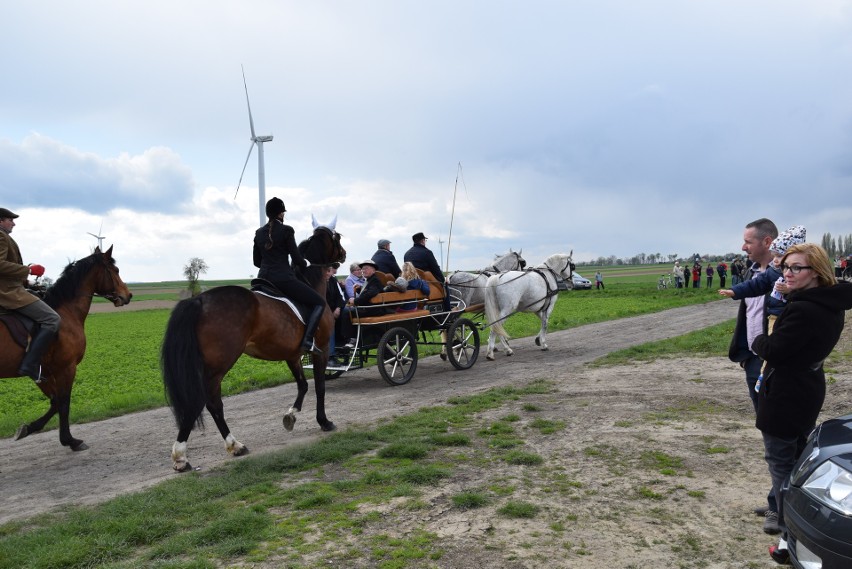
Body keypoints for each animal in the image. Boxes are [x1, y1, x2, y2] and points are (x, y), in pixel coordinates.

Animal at [0, 246, 132, 450]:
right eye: (115, 270)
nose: (128, 295)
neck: (65, 311)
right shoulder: (66, 368)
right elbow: (63, 403)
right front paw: (70, 440)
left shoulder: (44, 372)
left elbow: (55, 402)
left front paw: (28, 428)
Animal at [160, 225, 346, 470]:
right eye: (336, 238)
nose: (343, 255)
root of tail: (198, 300)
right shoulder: (321, 349)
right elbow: (319, 386)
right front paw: (324, 422)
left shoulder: (292, 355)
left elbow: (303, 385)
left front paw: (291, 416)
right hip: (219, 365)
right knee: (209, 403)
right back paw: (205, 451)